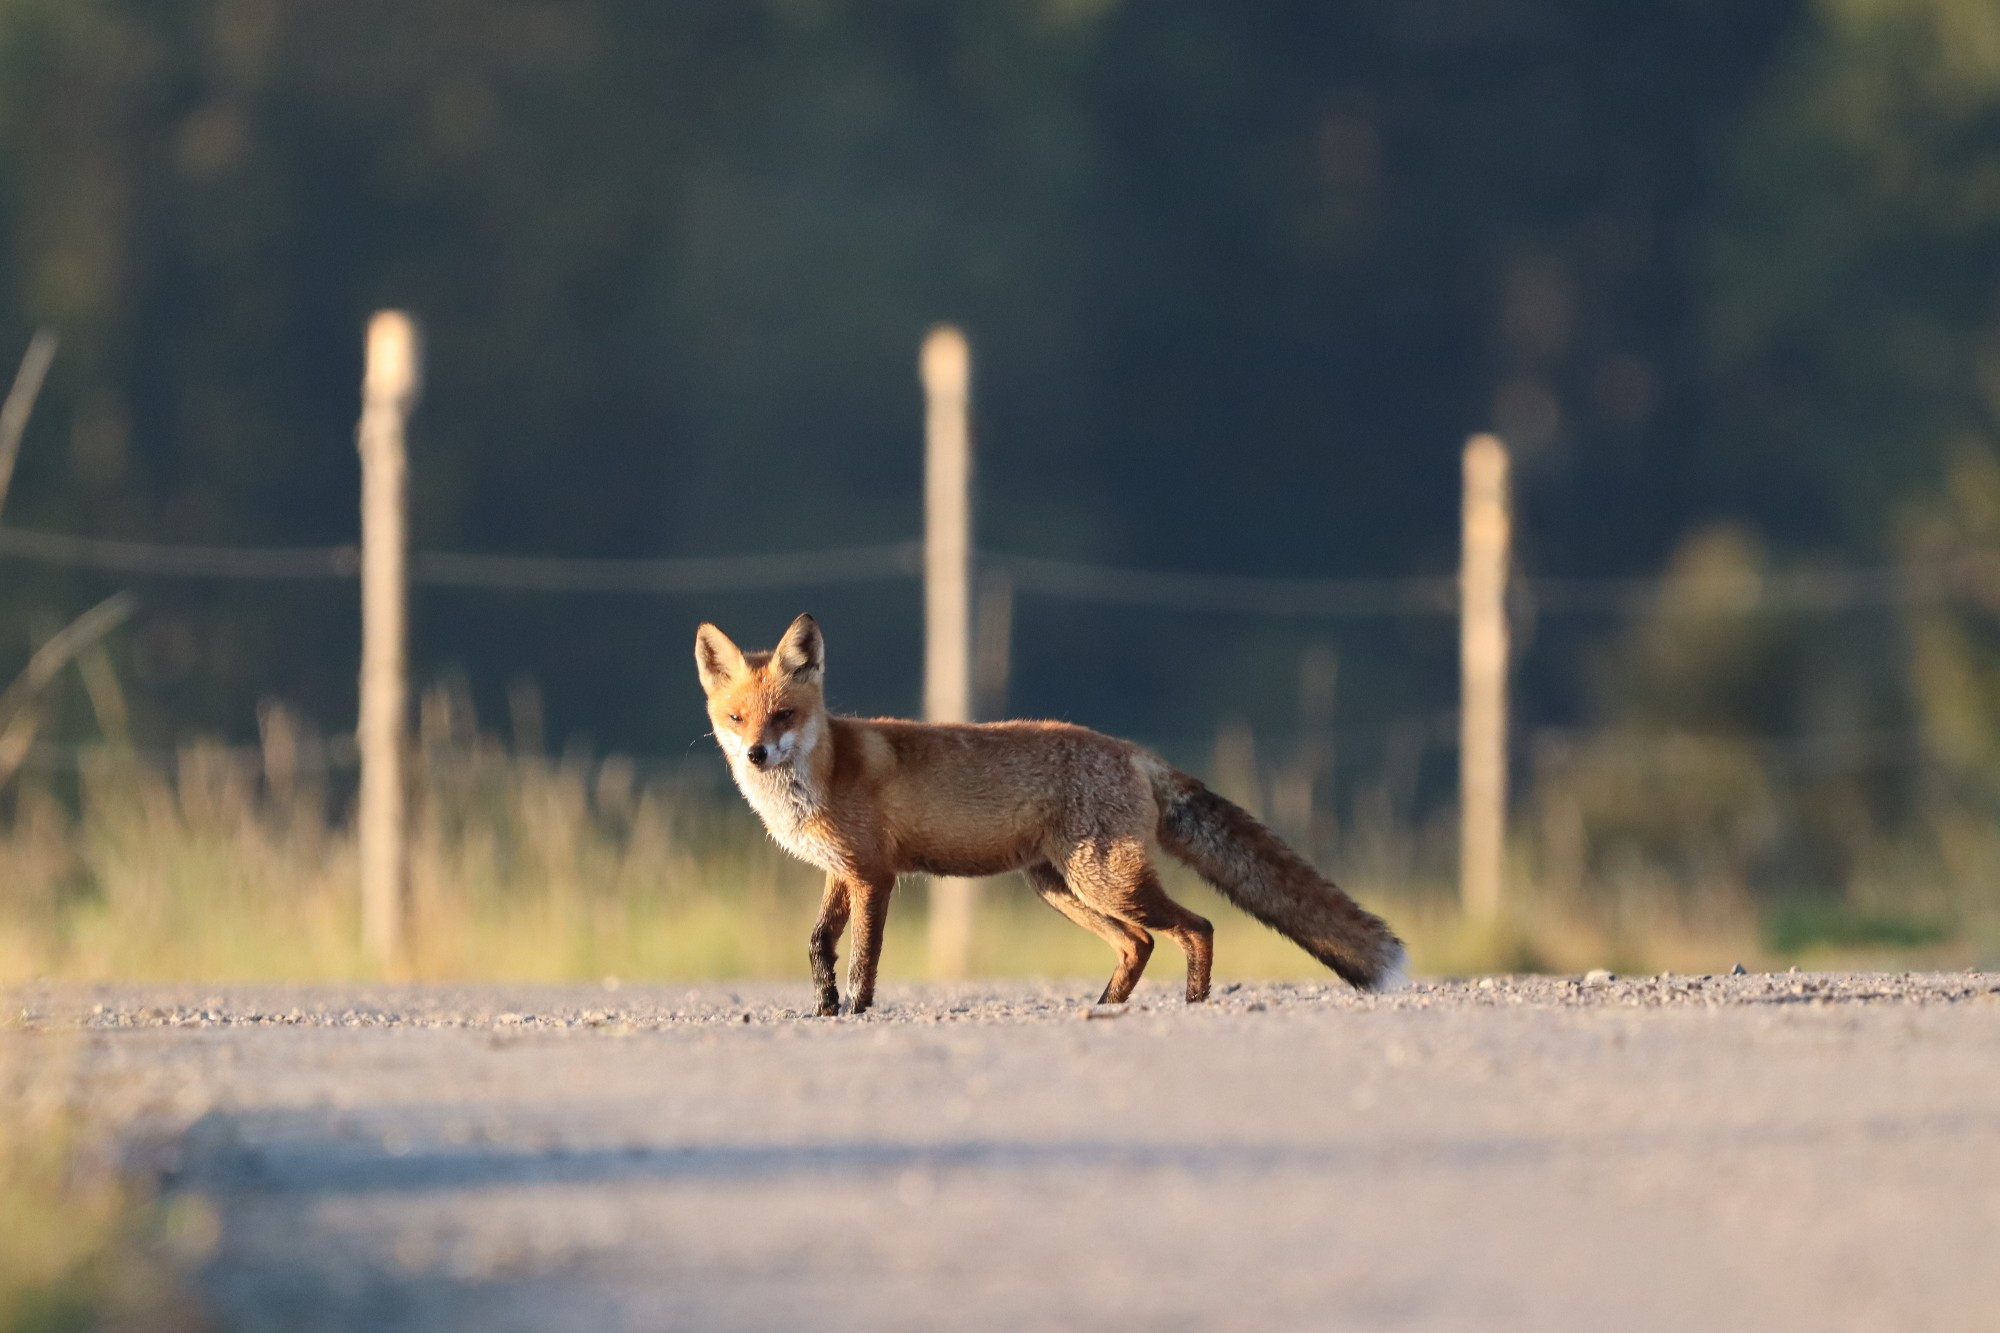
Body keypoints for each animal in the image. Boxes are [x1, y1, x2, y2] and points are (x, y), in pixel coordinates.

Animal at [700, 616, 1408, 1012]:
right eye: (736, 718)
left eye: (783, 715)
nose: (758, 753)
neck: (821, 775)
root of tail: (1131, 750)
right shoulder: (840, 872)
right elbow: (819, 943)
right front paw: (822, 1007)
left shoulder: (875, 876)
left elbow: (862, 959)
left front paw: (852, 1011)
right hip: (1058, 887)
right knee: (1141, 942)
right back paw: (1106, 1007)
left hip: (1105, 881)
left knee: (1196, 927)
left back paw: (1193, 1004)